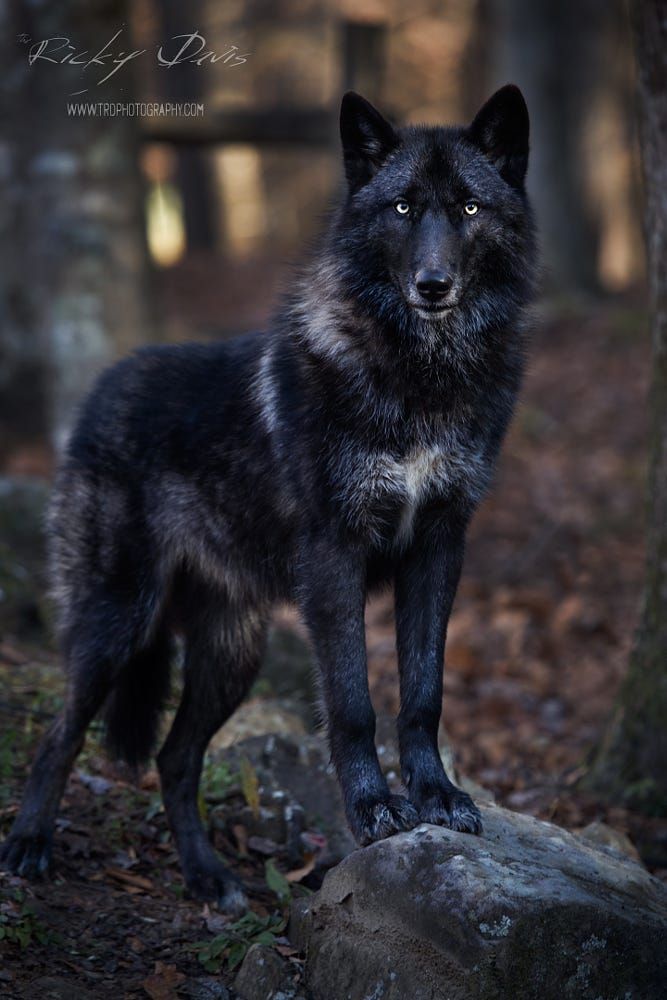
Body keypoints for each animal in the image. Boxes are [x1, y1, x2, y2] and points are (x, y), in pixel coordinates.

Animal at [1, 86, 536, 913]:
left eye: (469, 209)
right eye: (403, 208)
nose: (432, 284)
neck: (421, 379)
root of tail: (100, 387)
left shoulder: (439, 548)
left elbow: (423, 694)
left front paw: (436, 795)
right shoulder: (334, 557)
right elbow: (351, 703)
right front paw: (372, 808)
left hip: (232, 654)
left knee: (175, 757)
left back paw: (207, 878)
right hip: (118, 624)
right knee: (62, 733)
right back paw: (29, 843)